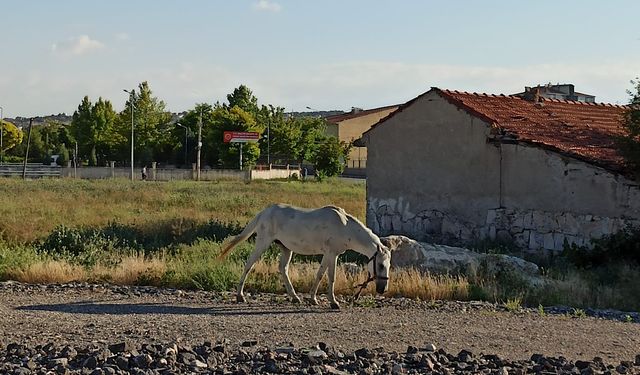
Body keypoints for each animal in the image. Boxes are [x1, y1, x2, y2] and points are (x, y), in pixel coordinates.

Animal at [219, 204, 390, 310]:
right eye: (381, 265)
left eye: (389, 266)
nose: (383, 289)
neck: (345, 227)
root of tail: (264, 212)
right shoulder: (332, 254)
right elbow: (331, 276)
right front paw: (333, 302)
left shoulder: (328, 255)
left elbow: (320, 274)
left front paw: (313, 299)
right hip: (263, 243)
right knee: (249, 264)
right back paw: (240, 296)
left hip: (286, 249)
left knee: (283, 269)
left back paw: (295, 297)